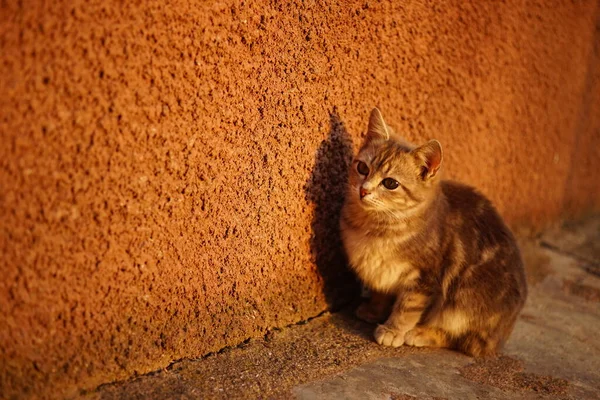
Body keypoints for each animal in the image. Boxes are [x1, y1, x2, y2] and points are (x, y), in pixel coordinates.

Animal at [340, 107, 528, 356]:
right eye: (362, 168)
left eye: (390, 183)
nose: (363, 190)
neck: (377, 227)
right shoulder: (381, 270)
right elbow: (381, 291)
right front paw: (373, 310)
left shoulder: (425, 278)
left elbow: (407, 307)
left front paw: (393, 330)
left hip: (465, 296)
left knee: (468, 342)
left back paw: (420, 333)